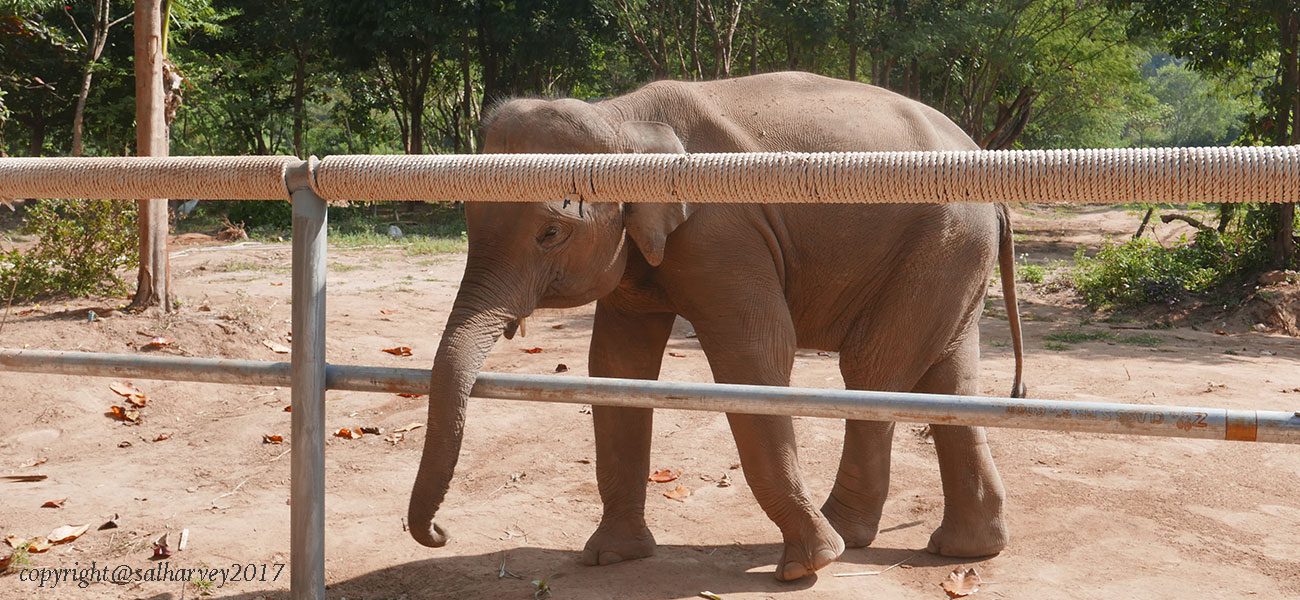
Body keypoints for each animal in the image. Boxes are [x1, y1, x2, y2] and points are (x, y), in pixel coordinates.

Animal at [407, 71, 1026, 582]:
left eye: (550, 233)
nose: (440, 532)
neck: (622, 117)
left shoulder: (721, 231)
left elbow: (756, 354)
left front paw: (806, 566)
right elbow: (616, 366)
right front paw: (610, 557)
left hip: (940, 244)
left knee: (873, 370)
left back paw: (844, 537)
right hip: (951, 256)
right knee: (948, 378)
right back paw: (965, 548)